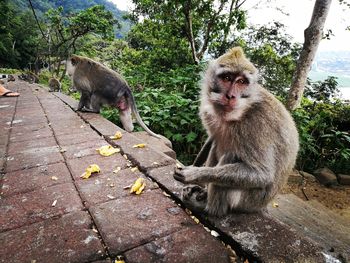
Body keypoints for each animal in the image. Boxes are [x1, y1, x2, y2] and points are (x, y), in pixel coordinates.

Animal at [174, 47, 298, 219]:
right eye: (227, 78)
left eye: (241, 82)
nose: (230, 96)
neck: (242, 109)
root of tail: (262, 206)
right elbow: (212, 138)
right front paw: (195, 167)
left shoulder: (257, 125)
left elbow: (263, 174)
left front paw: (195, 173)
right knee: (218, 145)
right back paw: (204, 193)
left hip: (249, 201)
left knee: (231, 157)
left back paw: (210, 209)